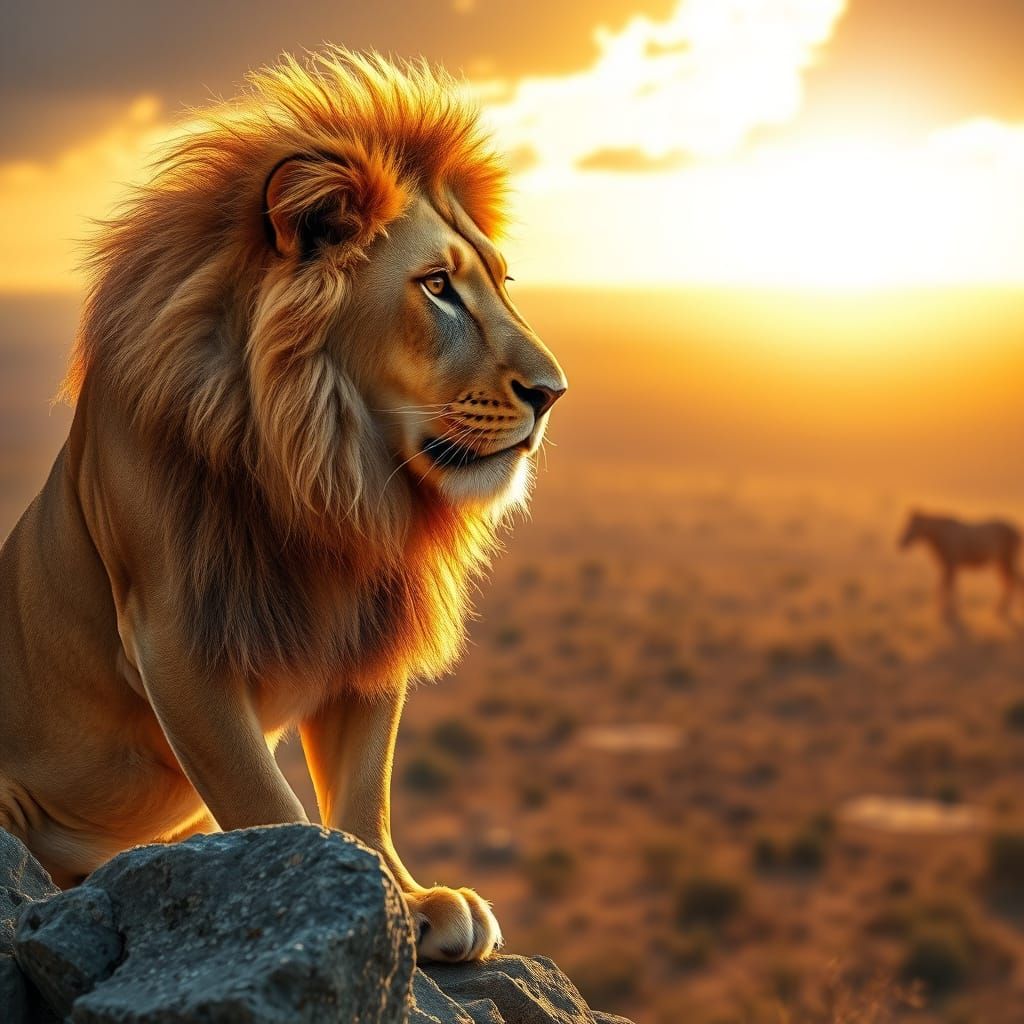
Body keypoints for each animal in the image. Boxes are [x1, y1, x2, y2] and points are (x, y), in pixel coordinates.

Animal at [0, 49, 565, 962]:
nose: (553, 393)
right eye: (438, 287)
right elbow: (267, 800)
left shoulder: (372, 629)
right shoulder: (173, 633)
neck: (331, 474)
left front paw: (412, 899)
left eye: (501, 283)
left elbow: (365, 788)